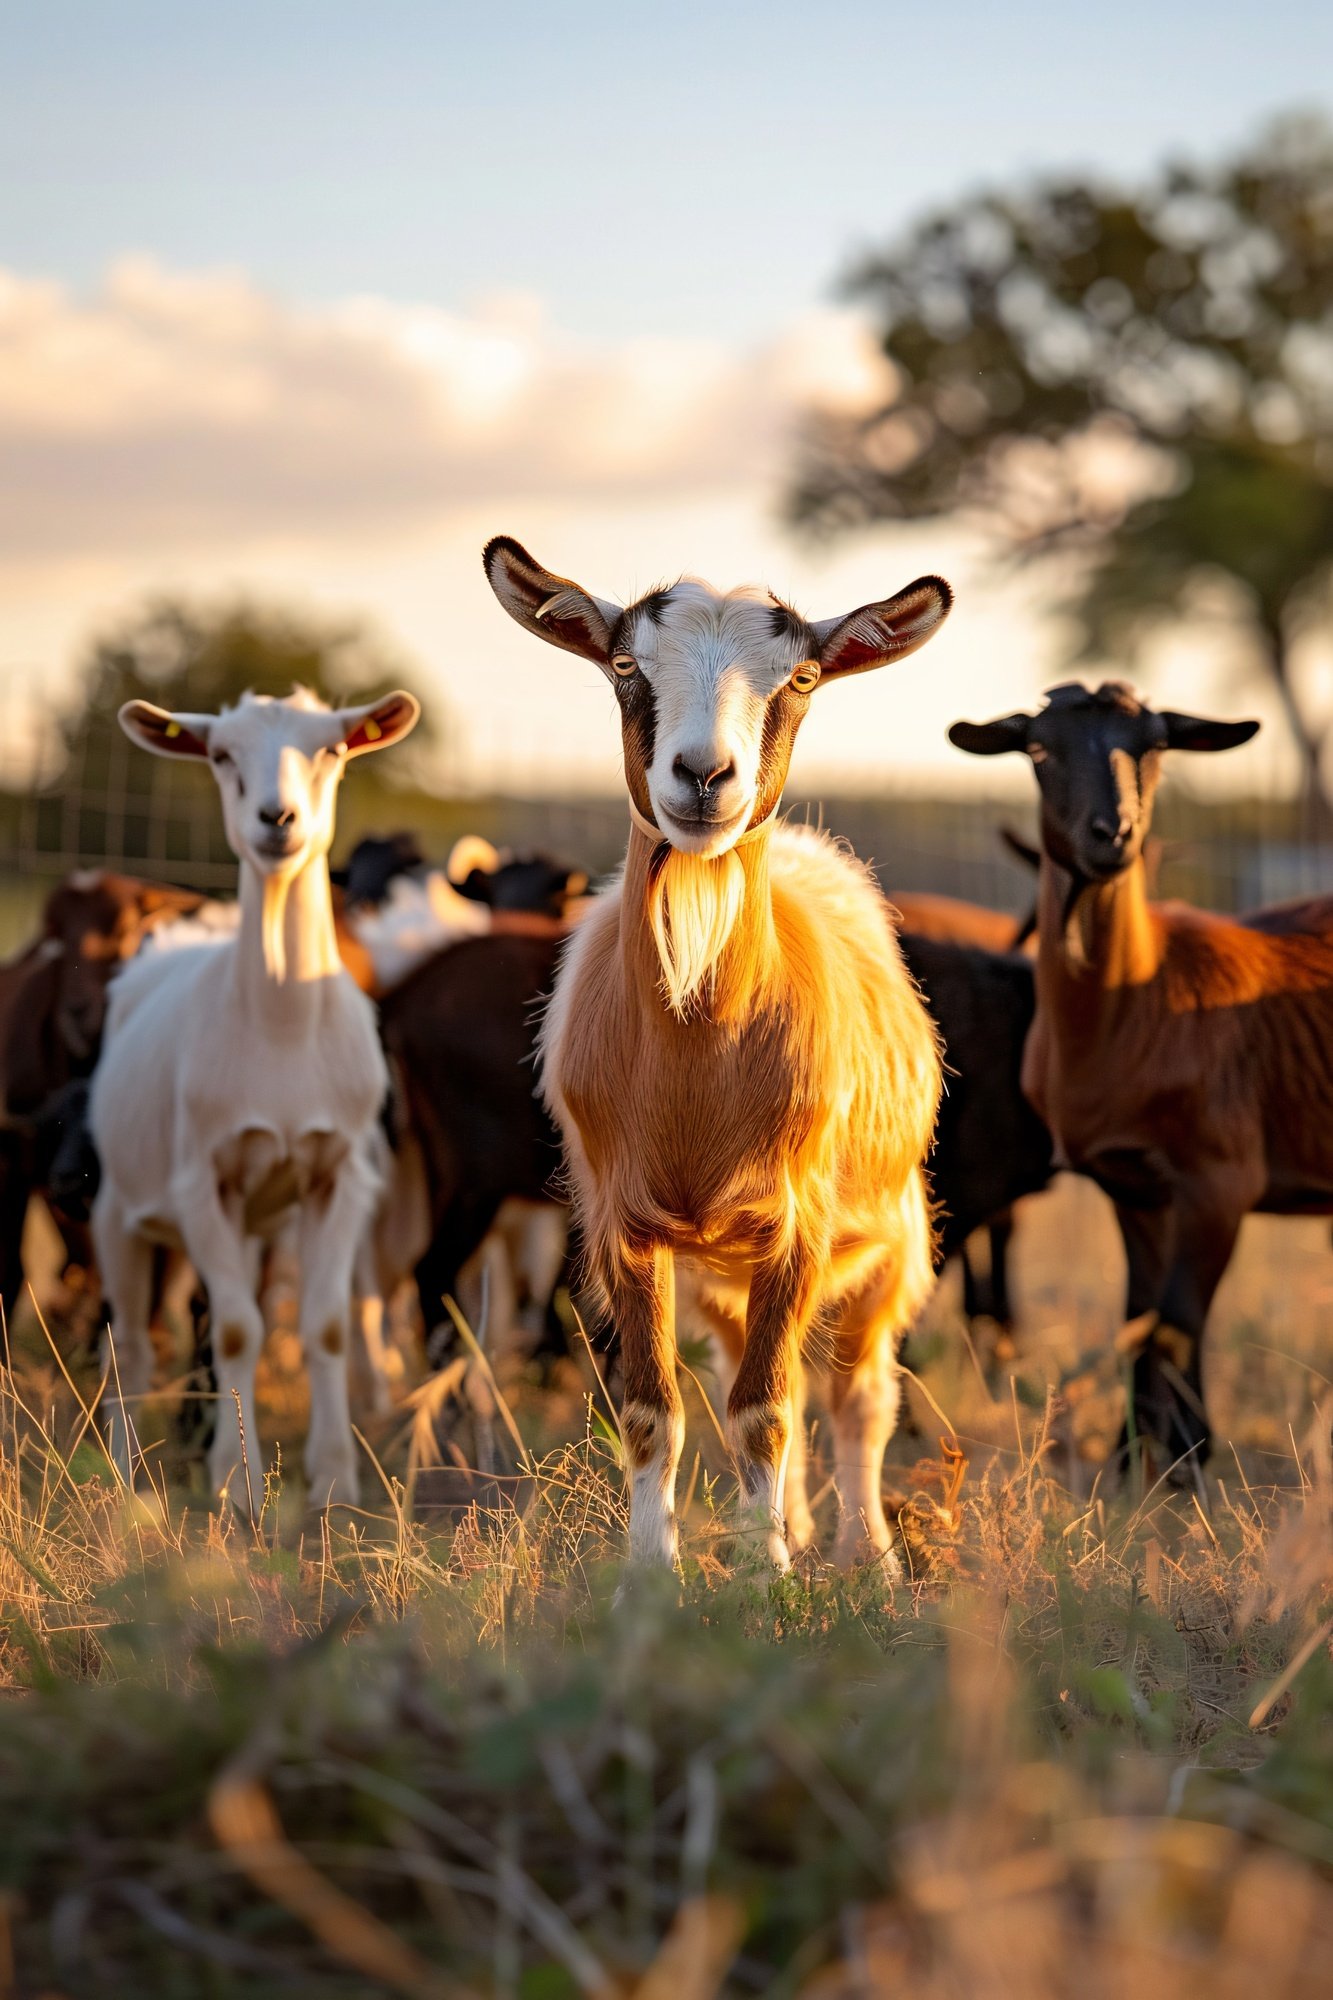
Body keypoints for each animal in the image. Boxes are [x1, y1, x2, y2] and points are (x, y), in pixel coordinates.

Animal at [89, 687, 419, 1507]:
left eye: (332, 748)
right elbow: (237, 1330)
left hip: (257, 1220)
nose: (277, 818)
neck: (281, 1032)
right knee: (130, 1345)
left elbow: (325, 1325)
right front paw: (237, 1486)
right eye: (219, 755)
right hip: (118, 1207)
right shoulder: (200, 1179)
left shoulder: (340, 1176)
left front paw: (333, 1478)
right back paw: (124, 1472)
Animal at [484, 535, 950, 1570]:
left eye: (801, 677)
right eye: (624, 665)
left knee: (858, 1396)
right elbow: (655, 1412)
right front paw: (652, 1578)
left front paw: (769, 1582)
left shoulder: (797, 1226)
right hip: (721, 1273)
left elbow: (765, 1413)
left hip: (890, 1235)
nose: (703, 777)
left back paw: (863, 1555)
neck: (698, 1064)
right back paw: (790, 1528)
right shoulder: (623, 1227)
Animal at [948, 679, 1333, 1477]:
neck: (1141, 998)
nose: (1112, 835)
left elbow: (1176, 1322)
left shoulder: (1220, 1181)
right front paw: (1132, 1462)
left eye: (1155, 747)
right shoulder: (1131, 1187)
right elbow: (1137, 1318)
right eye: (1037, 749)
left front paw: (1186, 1465)